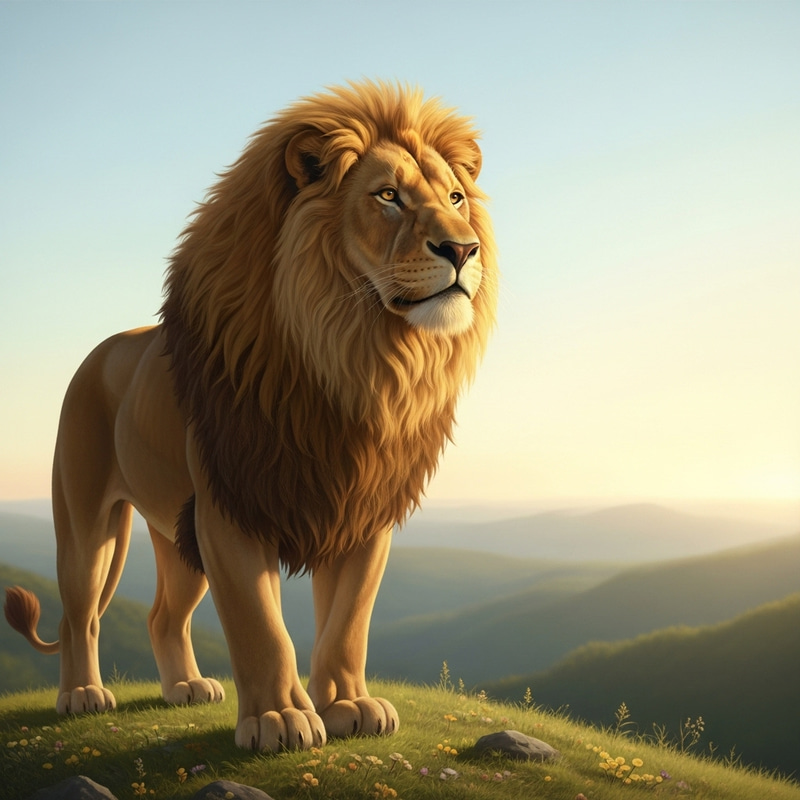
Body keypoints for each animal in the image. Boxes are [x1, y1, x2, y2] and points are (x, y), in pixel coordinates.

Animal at [4, 80, 497, 752]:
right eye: (387, 197)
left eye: (455, 198)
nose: (463, 248)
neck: (355, 360)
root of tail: (100, 351)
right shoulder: (230, 506)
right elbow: (261, 626)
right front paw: (279, 719)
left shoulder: (361, 509)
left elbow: (348, 621)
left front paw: (349, 706)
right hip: (86, 518)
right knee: (79, 611)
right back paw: (81, 695)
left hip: (175, 534)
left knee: (163, 615)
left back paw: (186, 688)